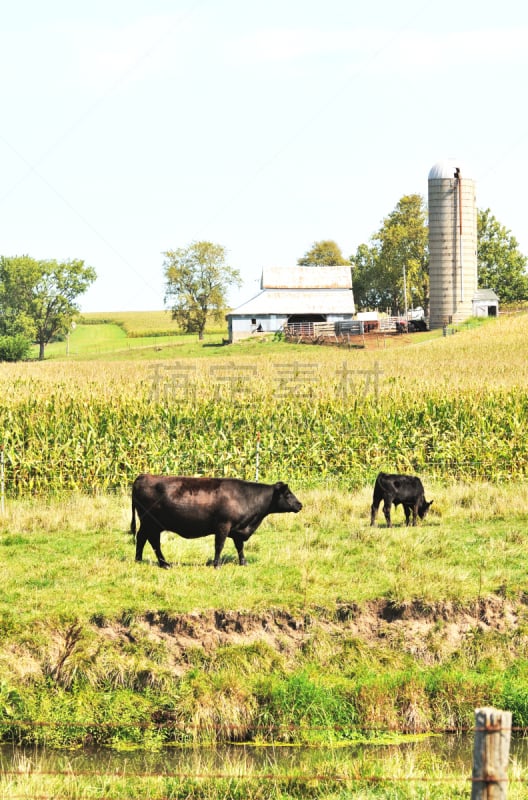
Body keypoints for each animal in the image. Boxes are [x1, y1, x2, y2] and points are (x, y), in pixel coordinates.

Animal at [130, 476, 304, 568]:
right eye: (288, 494)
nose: (300, 505)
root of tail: (143, 476)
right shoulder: (223, 525)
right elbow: (219, 545)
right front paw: (217, 564)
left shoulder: (238, 529)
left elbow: (240, 547)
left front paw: (243, 563)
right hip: (150, 523)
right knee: (151, 541)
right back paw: (163, 563)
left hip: (151, 524)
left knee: (143, 538)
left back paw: (140, 559)